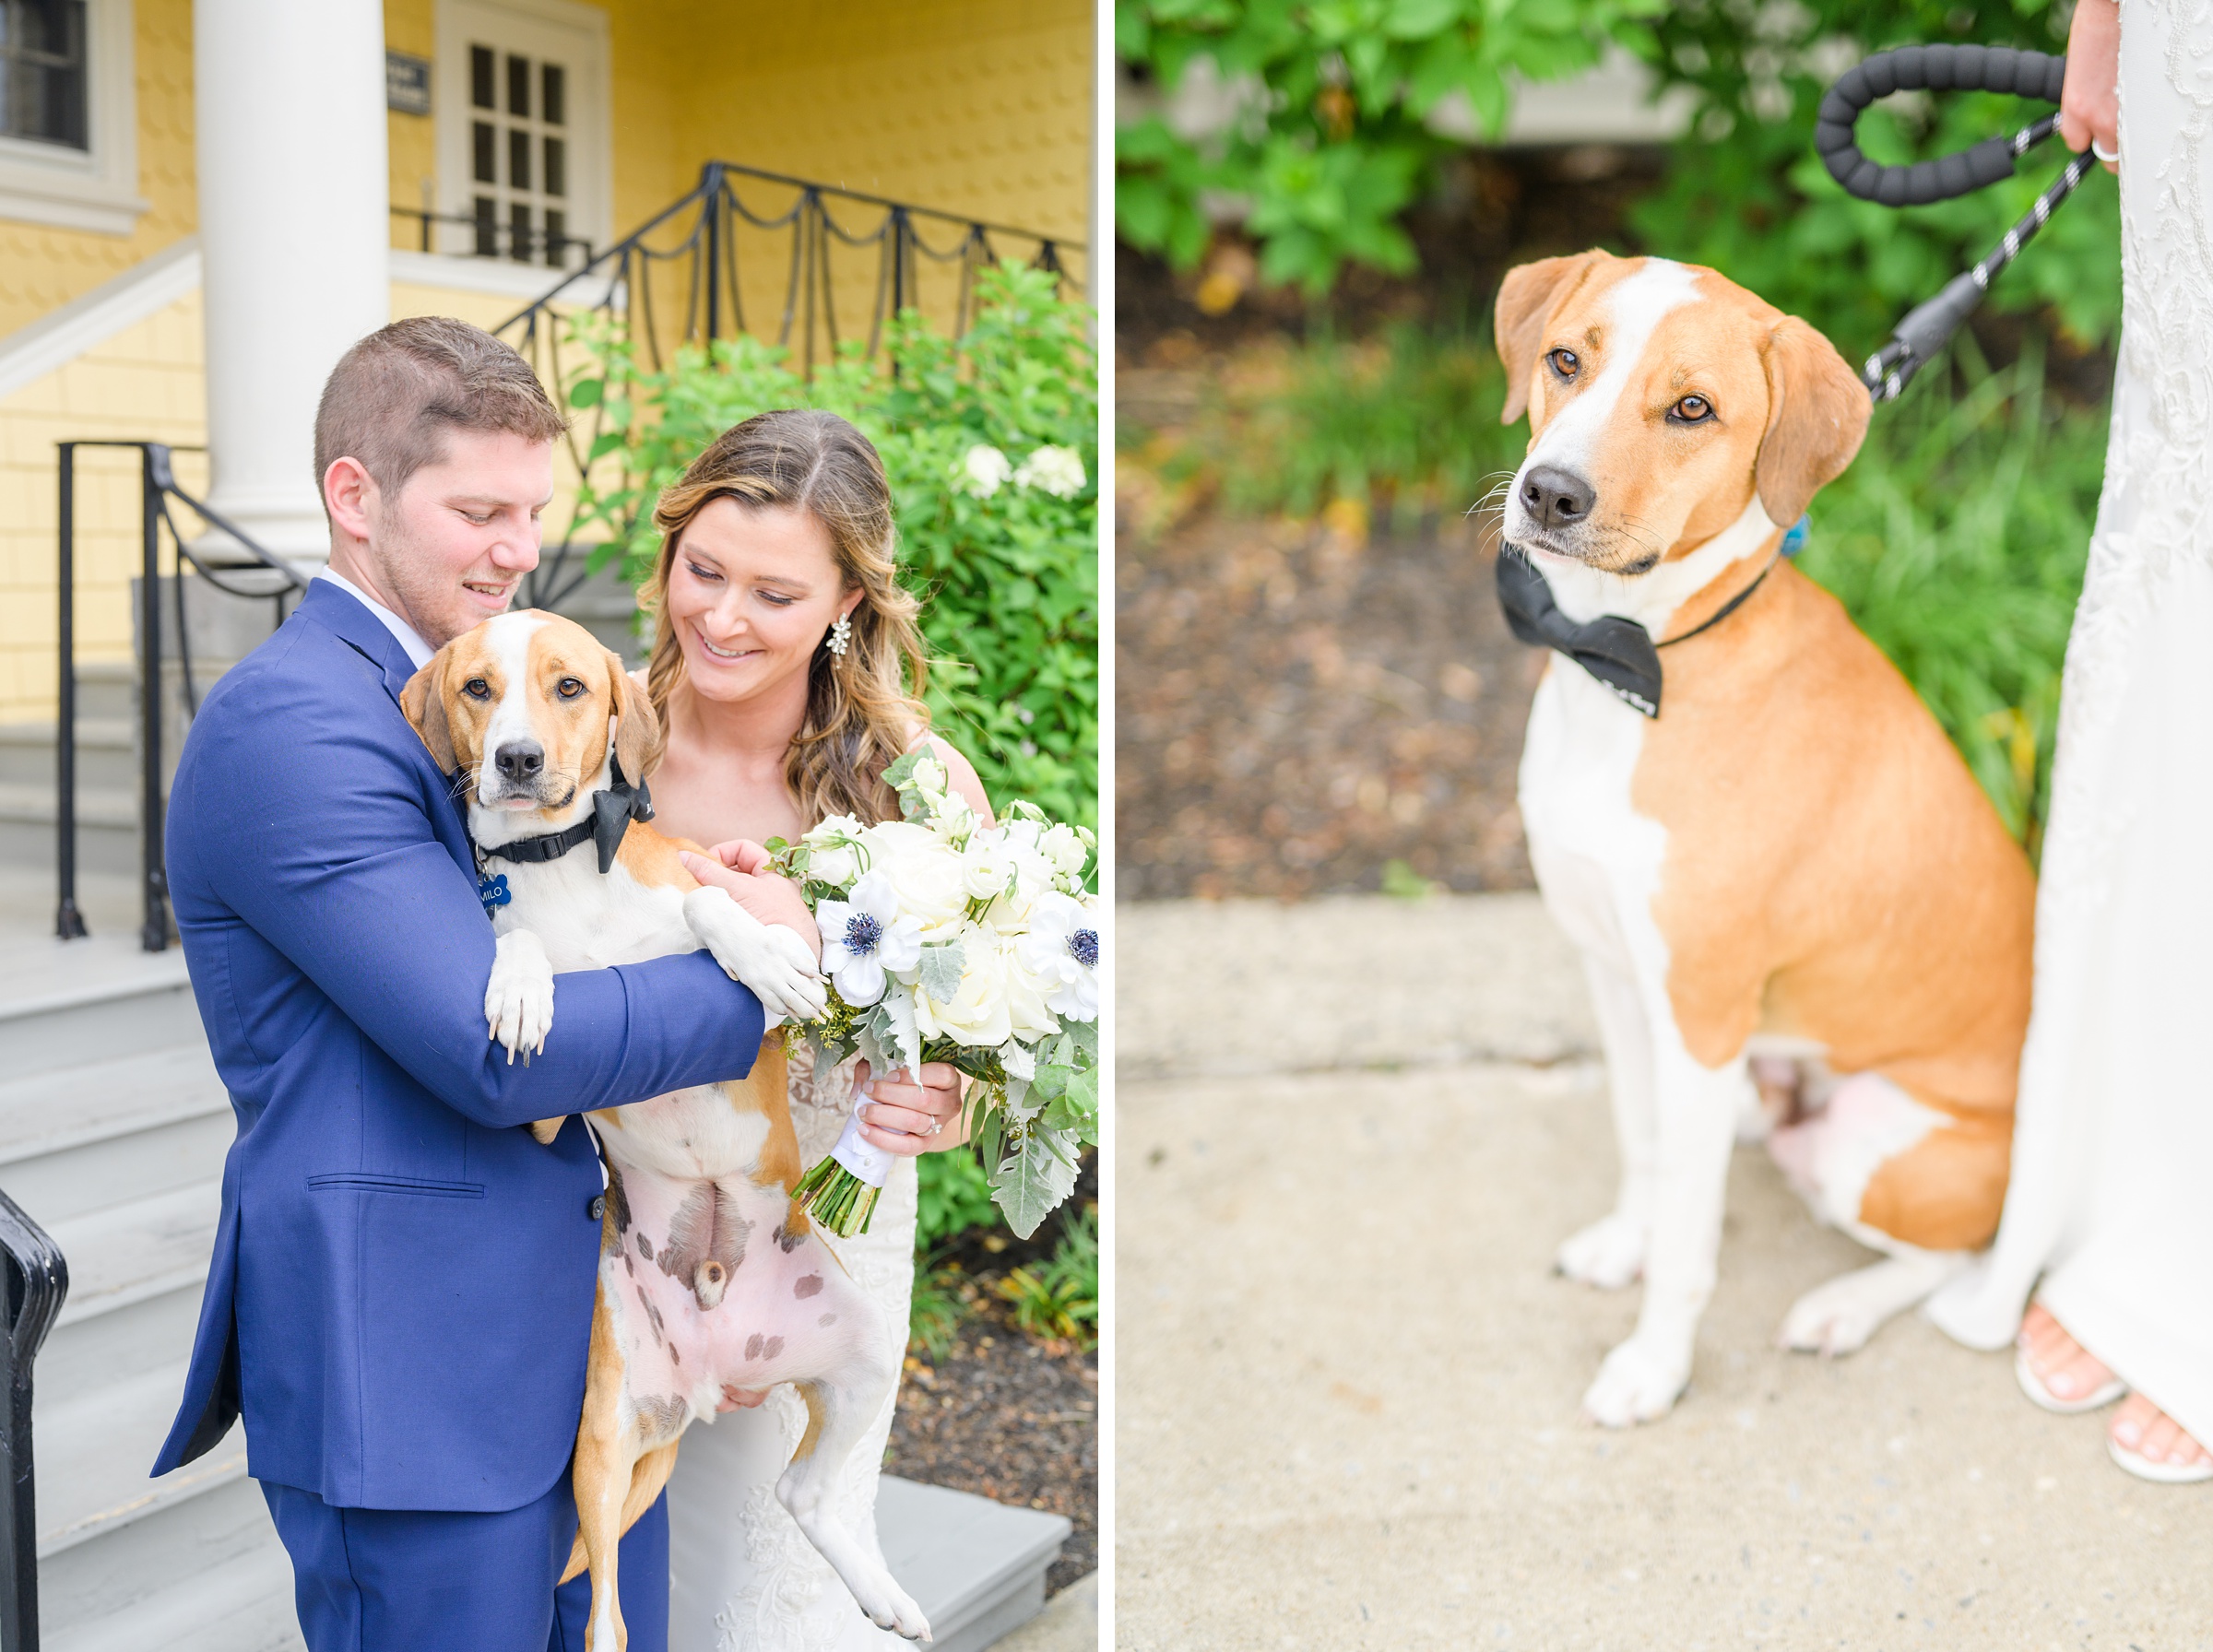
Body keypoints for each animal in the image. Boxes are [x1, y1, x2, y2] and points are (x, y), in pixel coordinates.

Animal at [402, 614, 929, 1645]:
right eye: (478, 687)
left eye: (569, 687)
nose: (516, 760)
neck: (563, 865)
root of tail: (712, 1382)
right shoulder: (538, 1109)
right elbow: (513, 942)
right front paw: (521, 984)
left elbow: (705, 896)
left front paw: (763, 949)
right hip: (607, 1430)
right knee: (606, 1611)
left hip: (863, 1346)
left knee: (805, 1493)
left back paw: (882, 1591)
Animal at [1496, 252, 2027, 1423]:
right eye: (1566, 360)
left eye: (1693, 408)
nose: (1551, 492)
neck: (1638, 657)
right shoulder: (1617, 974)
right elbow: (1643, 1142)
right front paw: (1626, 1240)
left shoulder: (1698, 1014)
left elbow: (1692, 1243)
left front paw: (1653, 1368)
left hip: (1874, 1142)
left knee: (1966, 1263)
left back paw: (1841, 1308)